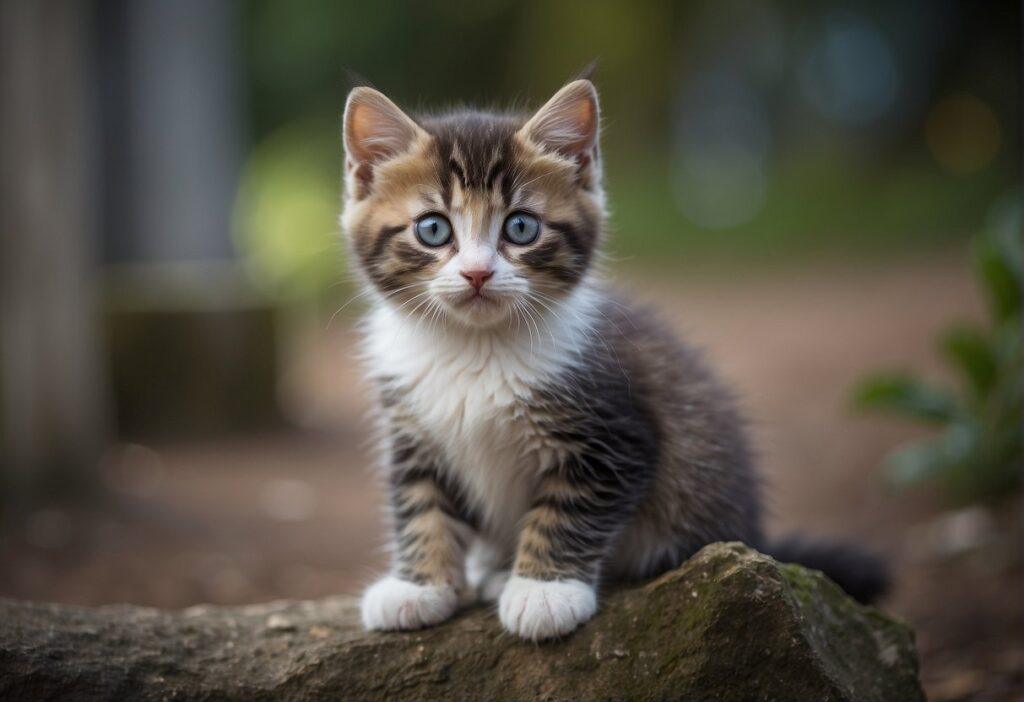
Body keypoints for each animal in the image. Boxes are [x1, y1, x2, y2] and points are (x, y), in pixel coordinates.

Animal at [339, 79, 884, 642]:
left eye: (520, 227)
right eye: (432, 229)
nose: (477, 273)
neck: (475, 345)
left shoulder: (613, 432)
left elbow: (568, 512)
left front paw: (544, 591)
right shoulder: (410, 431)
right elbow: (419, 505)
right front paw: (418, 586)